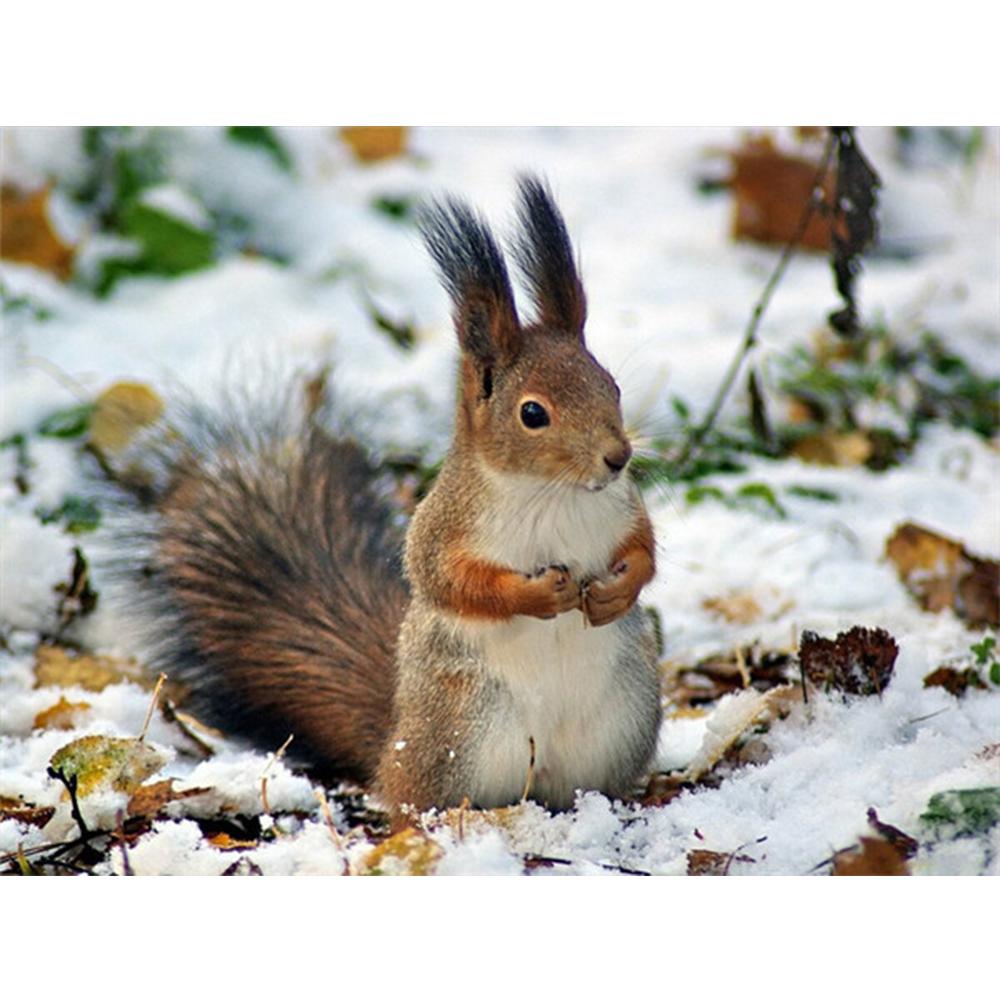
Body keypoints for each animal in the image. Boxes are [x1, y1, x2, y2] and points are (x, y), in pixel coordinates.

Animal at [114, 176, 662, 825]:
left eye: (612, 386)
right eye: (533, 414)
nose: (617, 457)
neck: (555, 495)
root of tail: (392, 742)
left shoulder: (622, 508)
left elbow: (644, 550)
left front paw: (616, 590)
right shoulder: (444, 527)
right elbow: (450, 582)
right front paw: (537, 594)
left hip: (622, 722)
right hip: (458, 736)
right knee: (416, 800)